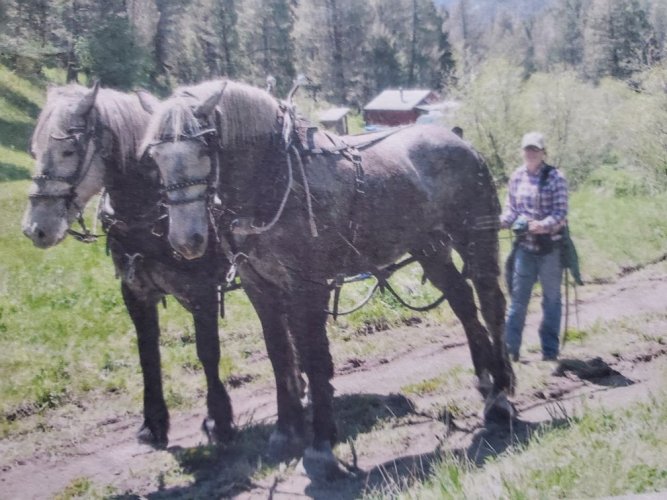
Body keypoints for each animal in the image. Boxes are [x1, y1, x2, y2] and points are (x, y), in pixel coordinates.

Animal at [21, 83, 254, 449]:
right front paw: (153, 422)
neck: (154, 212)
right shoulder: (135, 291)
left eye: (69, 150)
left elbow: (207, 352)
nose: (35, 229)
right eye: (34, 149)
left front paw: (219, 420)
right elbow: (147, 353)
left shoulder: (202, 291)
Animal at [139, 79, 516, 478]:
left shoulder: (308, 285)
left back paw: (501, 394)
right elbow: (280, 355)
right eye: (154, 157)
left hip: (474, 236)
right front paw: (286, 431)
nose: (187, 239)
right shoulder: (260, 286)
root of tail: (460, 140)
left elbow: (313, 358)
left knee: (490, 303)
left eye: (206, 145)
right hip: (429, 248)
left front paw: (320, 445)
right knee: (463, 302)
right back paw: (485, 380)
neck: (275, 177)